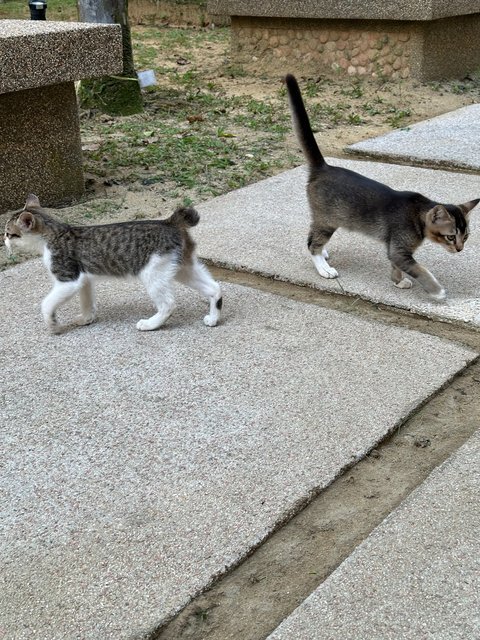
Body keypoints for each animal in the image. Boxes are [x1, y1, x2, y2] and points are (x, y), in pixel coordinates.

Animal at [286, 74, 478, 300]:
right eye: (450, 237)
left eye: (466, 236)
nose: (460, 249)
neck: (417, 214)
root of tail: (324, 168)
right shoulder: (399, 249)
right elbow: (420, 270)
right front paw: (436, 290)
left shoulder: (395, 248)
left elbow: (397, 265)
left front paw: (398, 281)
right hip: (327, 220)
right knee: (311, 244)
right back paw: (324, 267)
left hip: (325, 219)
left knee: (312, 235)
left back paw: (323, 253)